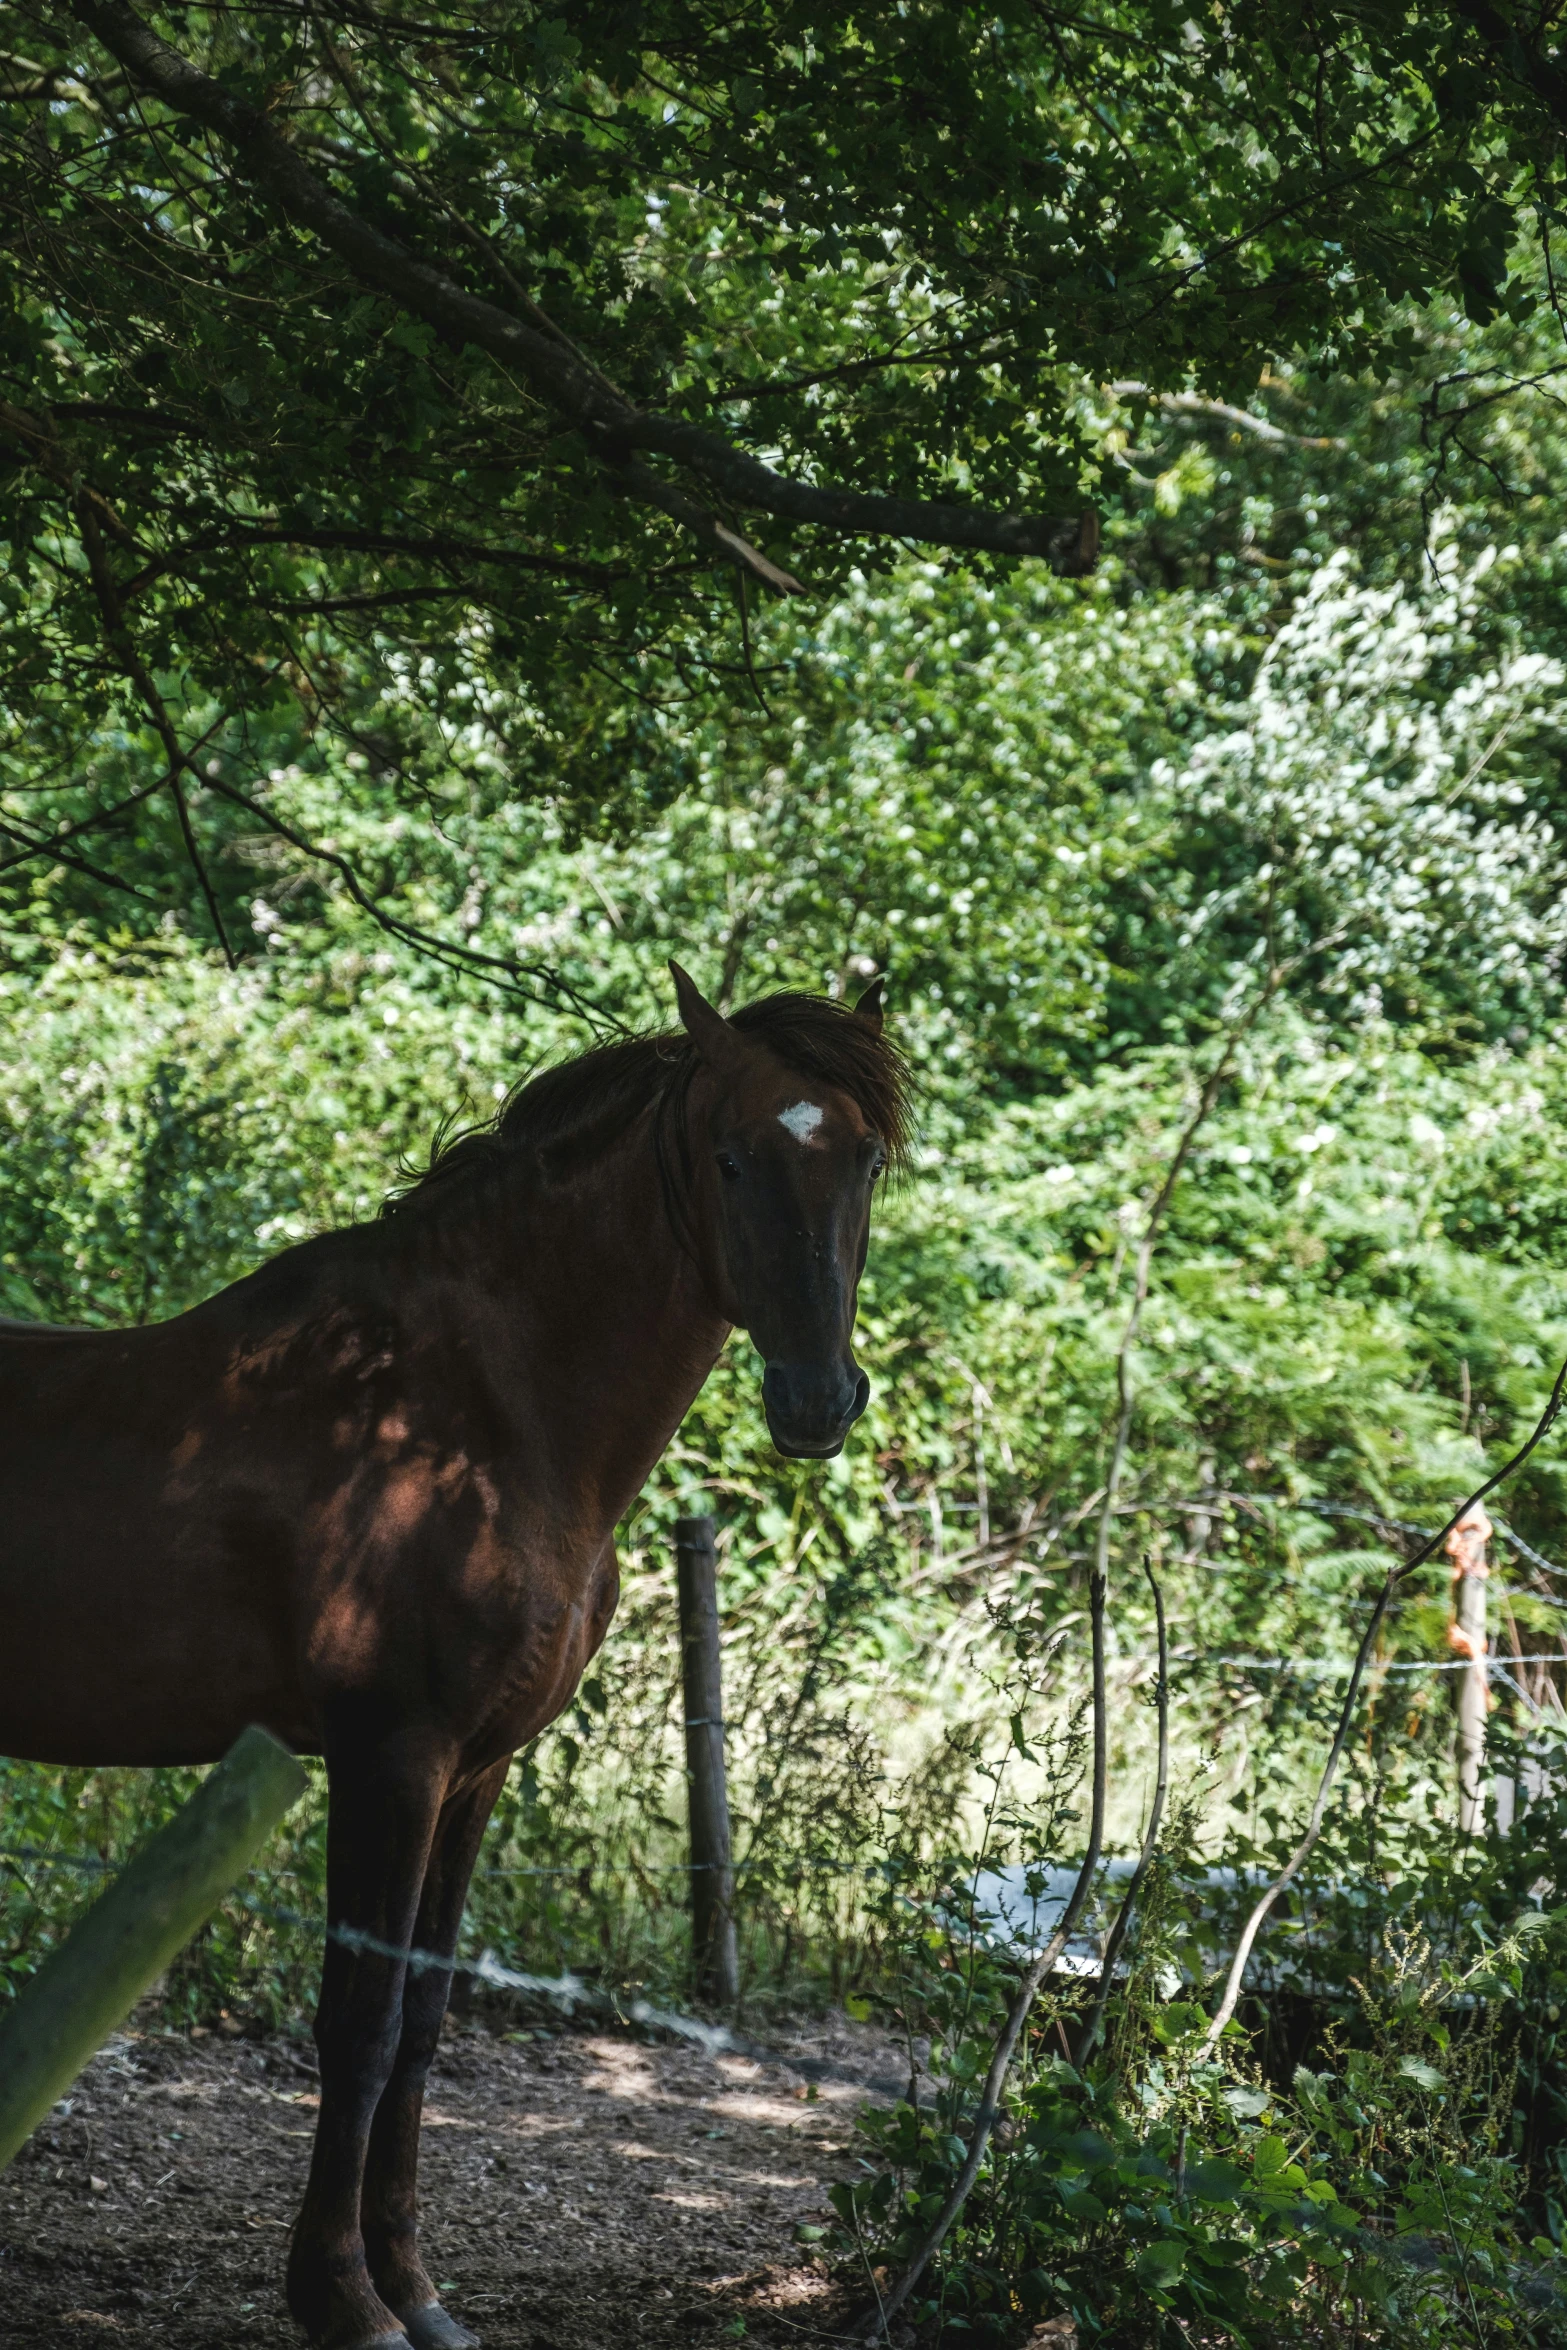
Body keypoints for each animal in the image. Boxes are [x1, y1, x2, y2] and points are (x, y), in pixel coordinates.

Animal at [0, 963, 906, 2350]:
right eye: (730, 1155)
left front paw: (416, 2292)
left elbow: (425, 2023)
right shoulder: (393, 1756)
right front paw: (342, 2299)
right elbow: (362, 2020)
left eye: (861, 1157)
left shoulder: (476, 1768)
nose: (815, 1400)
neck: (474, 1414)